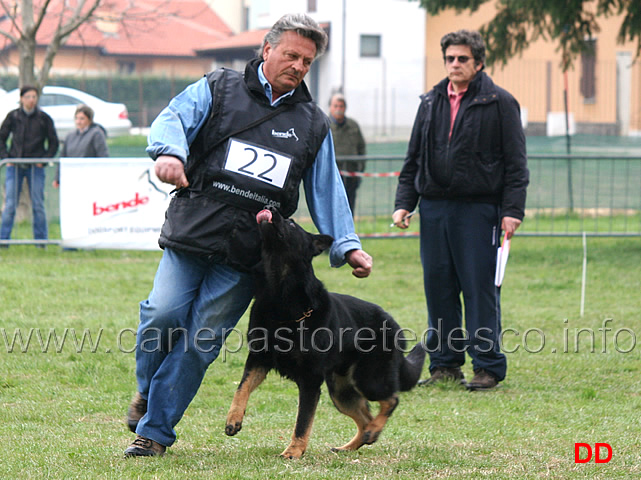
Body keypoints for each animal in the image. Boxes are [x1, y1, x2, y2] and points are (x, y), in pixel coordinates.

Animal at [225, 205, 424, 458]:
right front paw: (234, 419)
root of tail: (394, 324)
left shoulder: (310, 381)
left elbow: (303, 421)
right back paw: (354, 443)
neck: (281, 293)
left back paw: (373, 430)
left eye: (291, 223)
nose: (270, 208)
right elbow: (241, 388)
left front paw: (294, 451)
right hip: (341, 392)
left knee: (391, 400)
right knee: (364, 418)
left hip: (368, 380)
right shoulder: (258, 360)